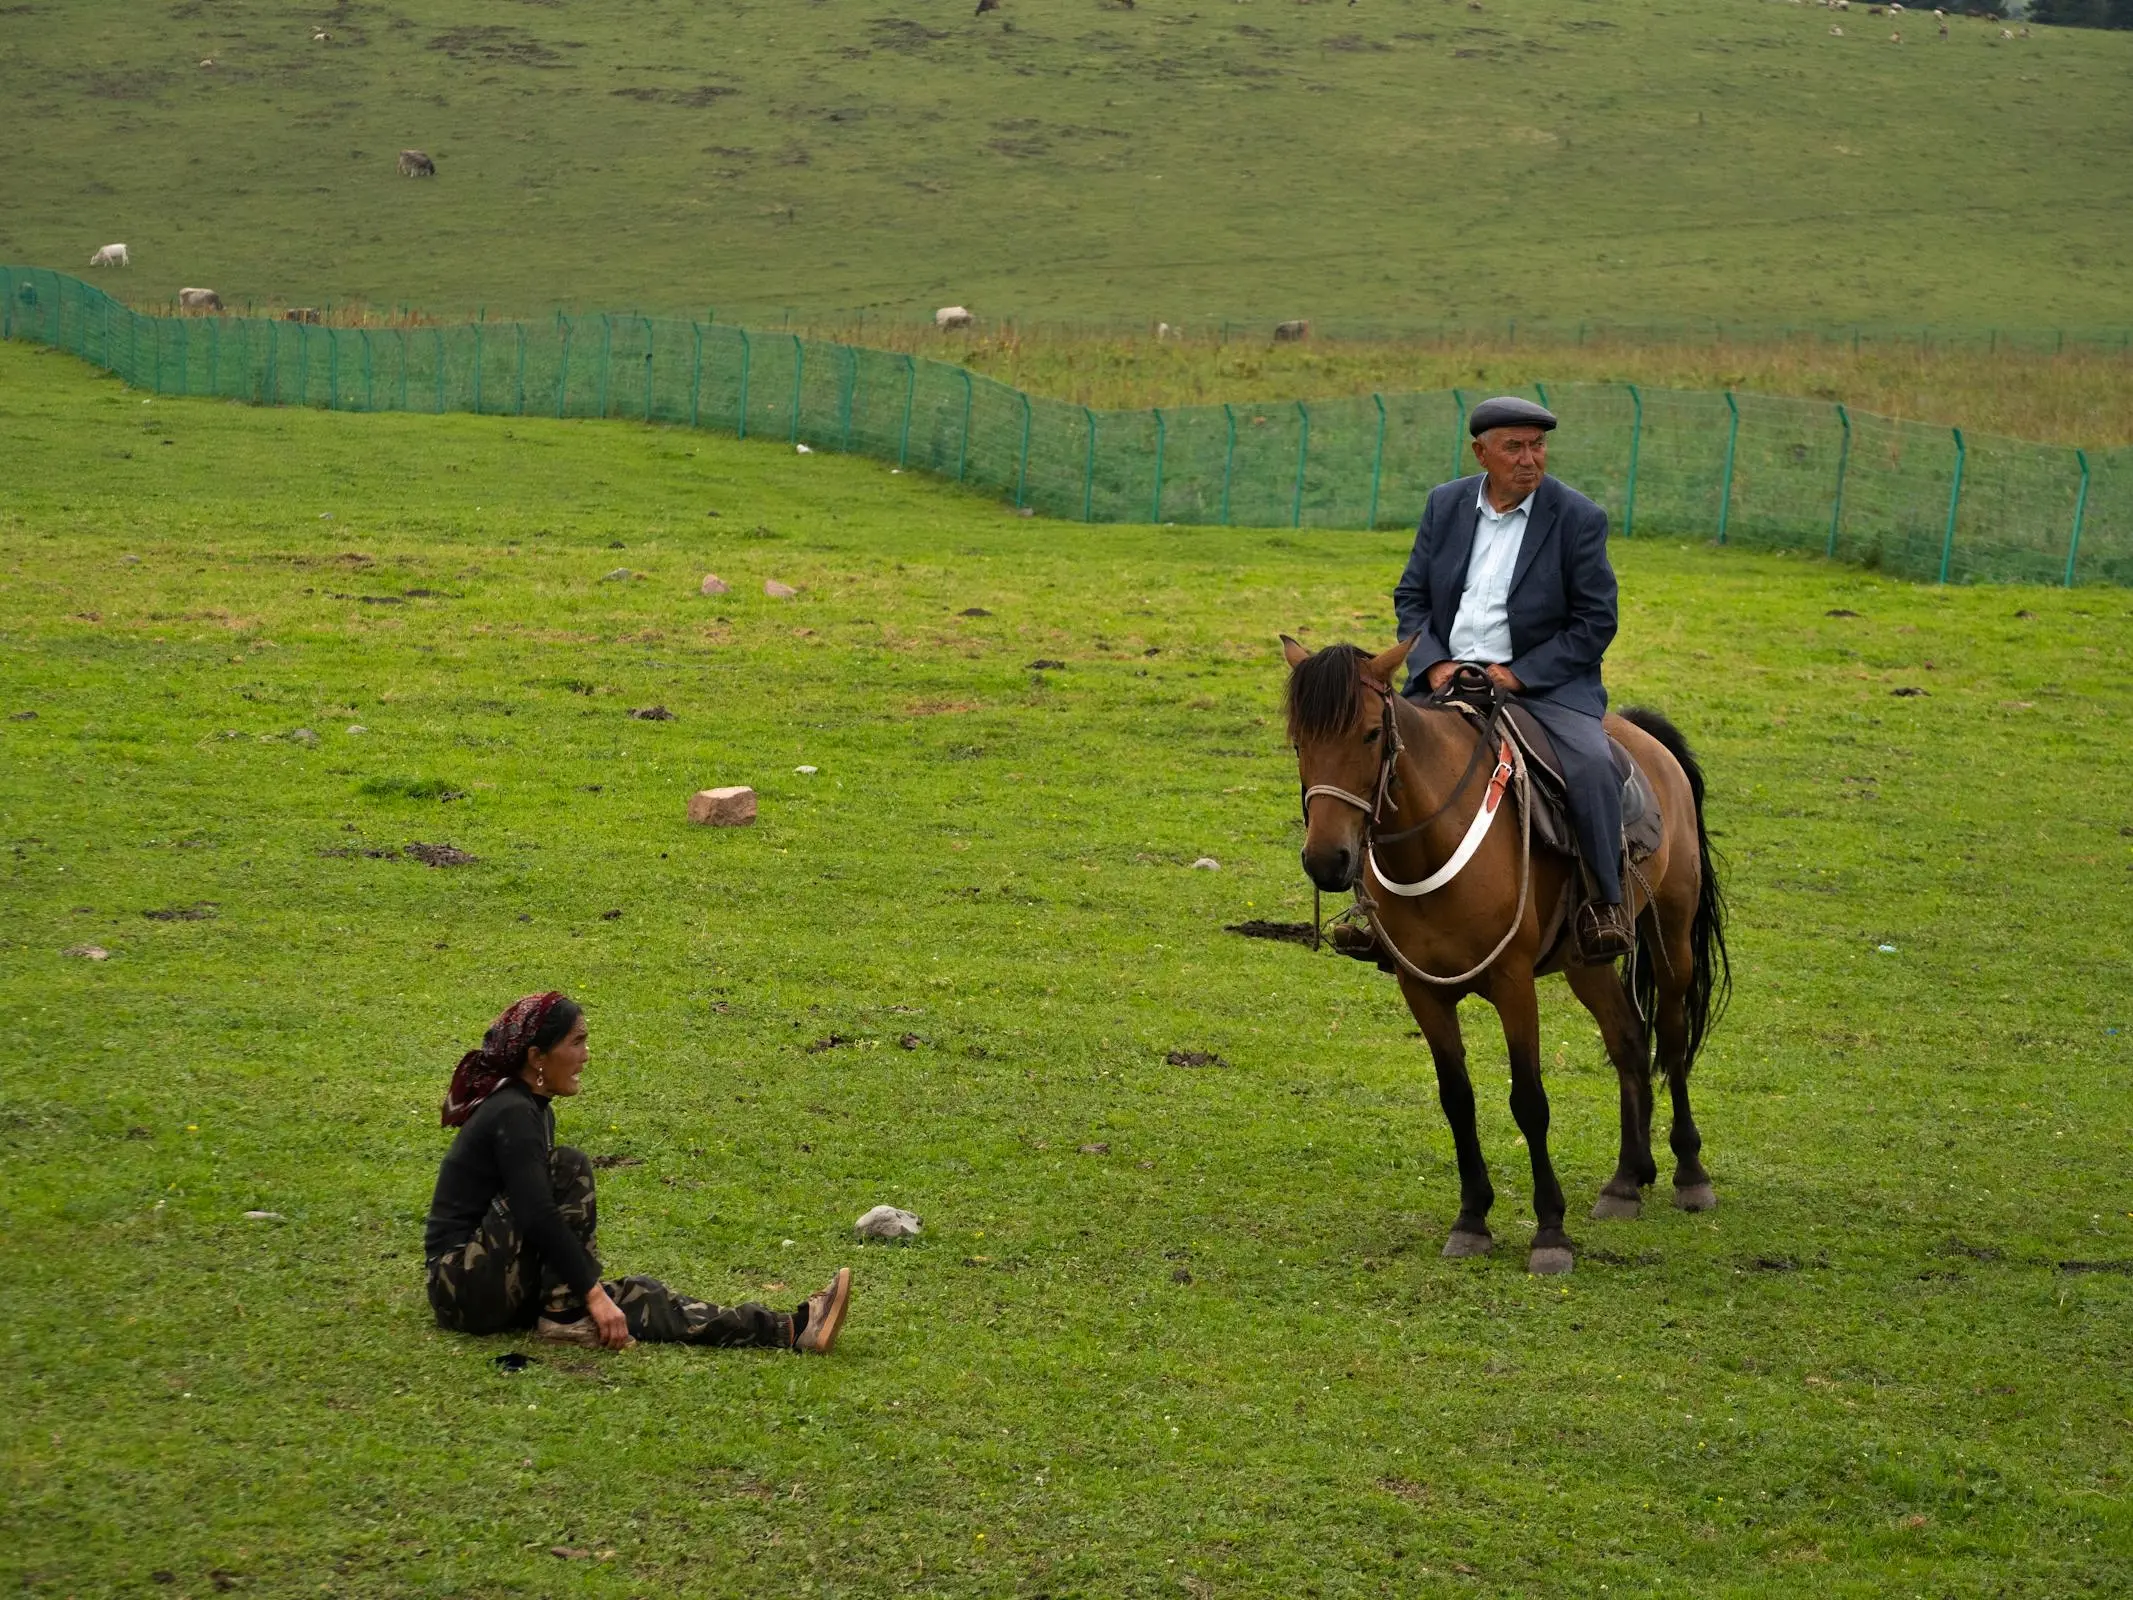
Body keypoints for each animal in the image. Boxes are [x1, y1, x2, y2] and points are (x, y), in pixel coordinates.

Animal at [1281, 636, 1729, 1275]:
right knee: (1628, 1039)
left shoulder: (1514, 982)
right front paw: (1472, 1220)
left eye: (1369, 734)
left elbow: (1529, 1102)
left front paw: (1550, 1232)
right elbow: (1457, 1100)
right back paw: (1626, 1180)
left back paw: (1690, 1173)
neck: (1433, 838)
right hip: (1585, 961)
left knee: (1669, 1035)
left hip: (1670, 934)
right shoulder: (1422, 989)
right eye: (1300, 740)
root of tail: (1642, 734)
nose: (1326, 860)